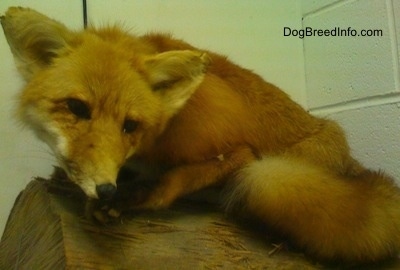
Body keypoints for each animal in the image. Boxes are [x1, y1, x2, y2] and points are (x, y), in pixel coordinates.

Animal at [2, 6, 400, 266]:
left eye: (130, 125)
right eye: (77, 108)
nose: (106, 189)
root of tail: (349, 158)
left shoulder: (236, 145)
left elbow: (171, 184)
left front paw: (132, 197)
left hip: (268, 175)